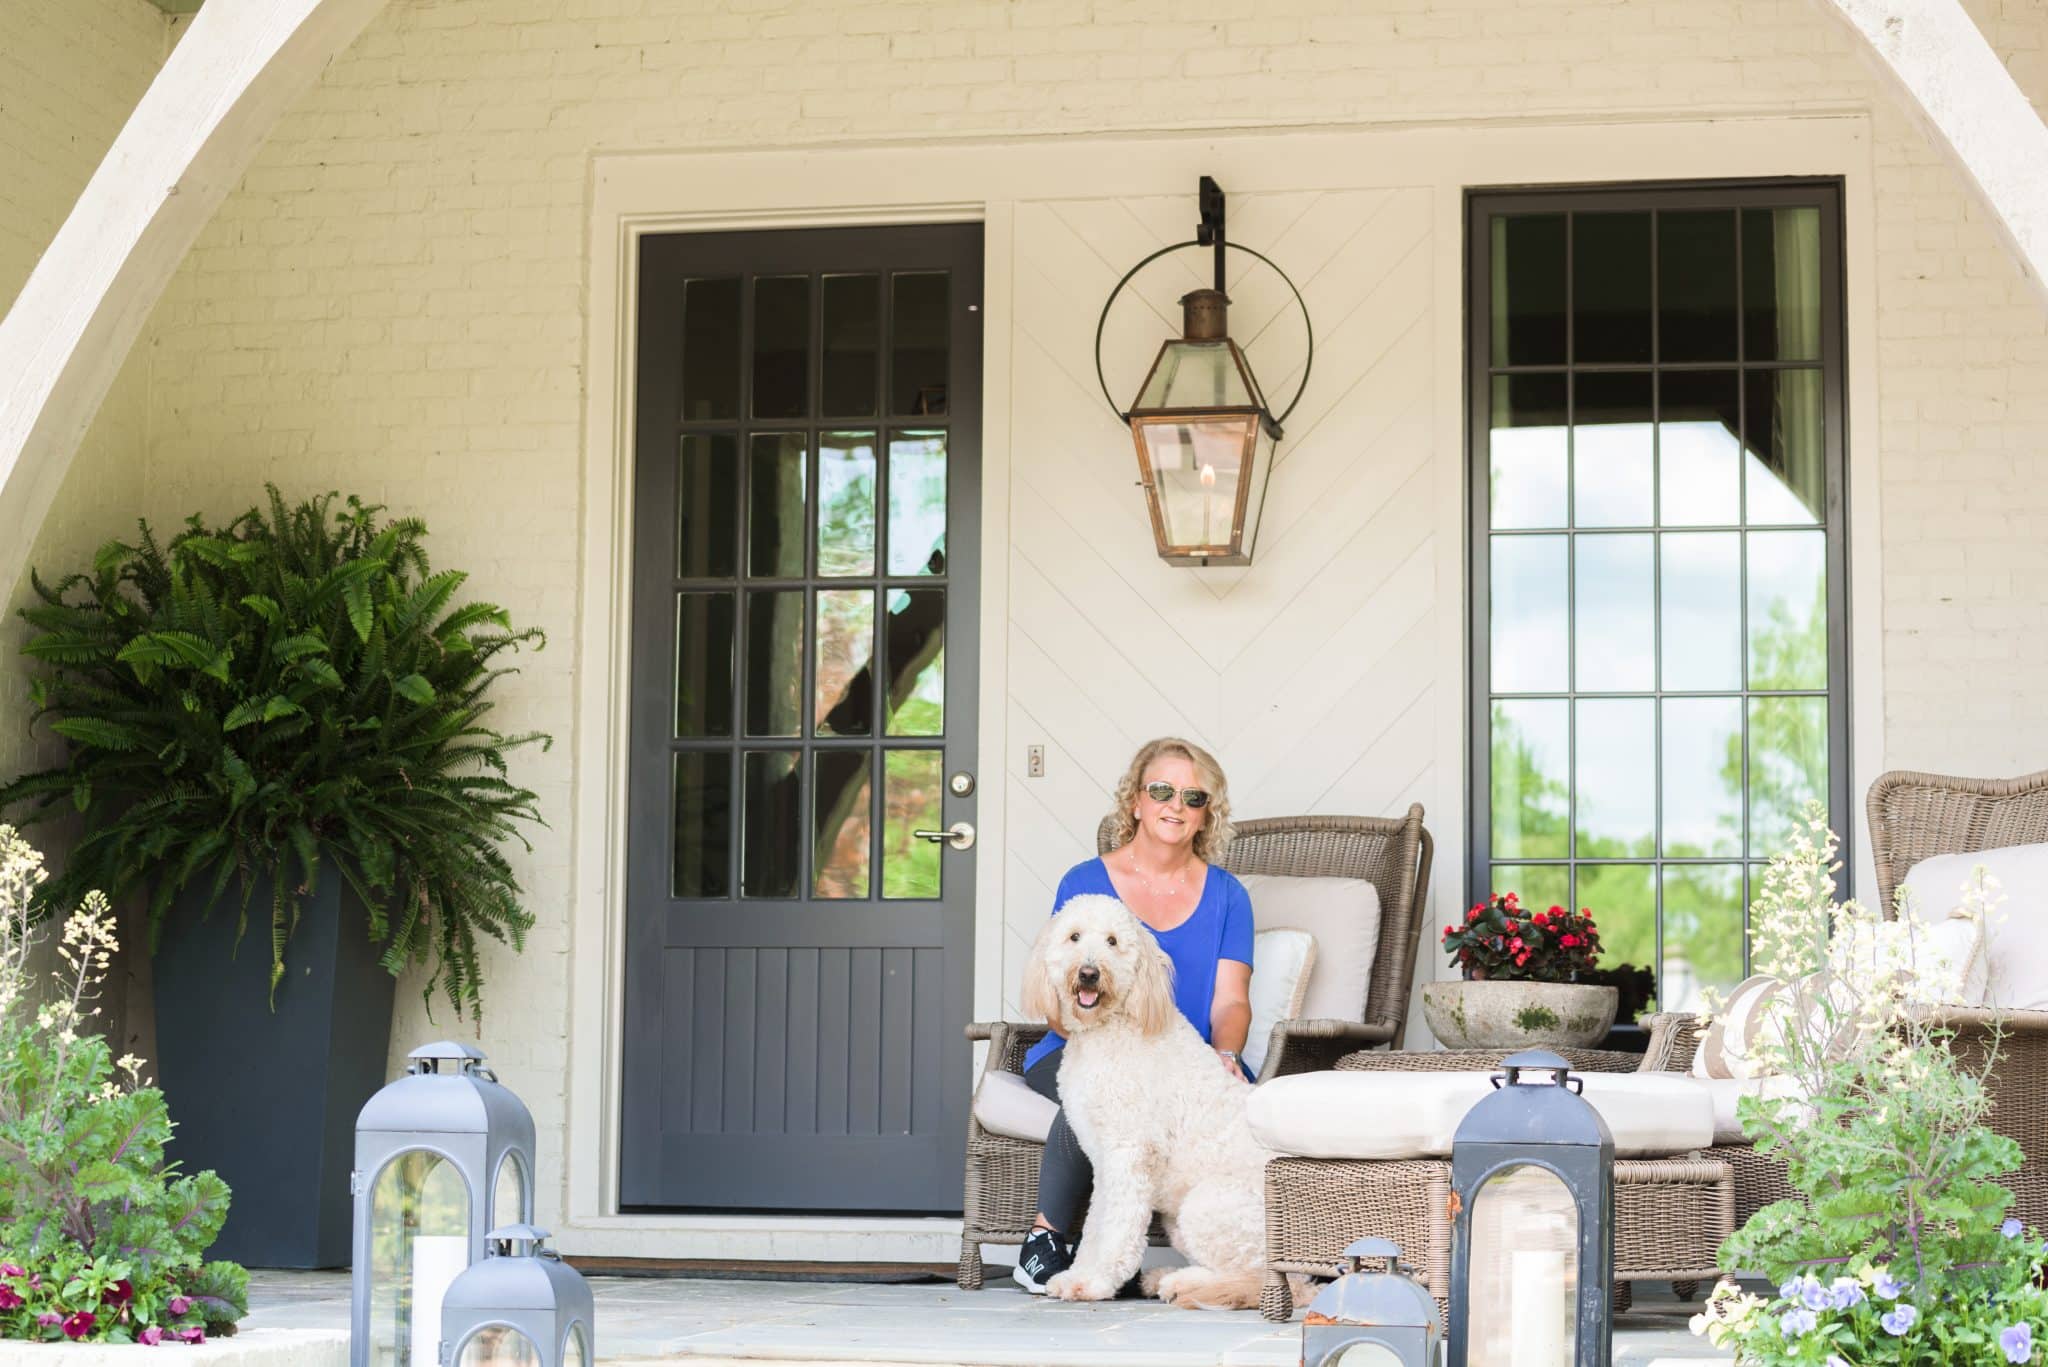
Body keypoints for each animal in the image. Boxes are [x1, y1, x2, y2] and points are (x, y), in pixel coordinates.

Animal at [1024, 893, 1277, 1311]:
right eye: (1074, 936)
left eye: (1112, 941)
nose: (1089, 973)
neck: (1111, 1027)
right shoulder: (1102, 1160)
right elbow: (1097, 1225)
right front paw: (1079, 1275)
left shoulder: (1129, 1153)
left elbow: (1119, 1229)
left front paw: (1095, 1283)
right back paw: (1167, 1277)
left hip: (1207, 1205)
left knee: (1262, 1281)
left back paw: (1183, 1283)